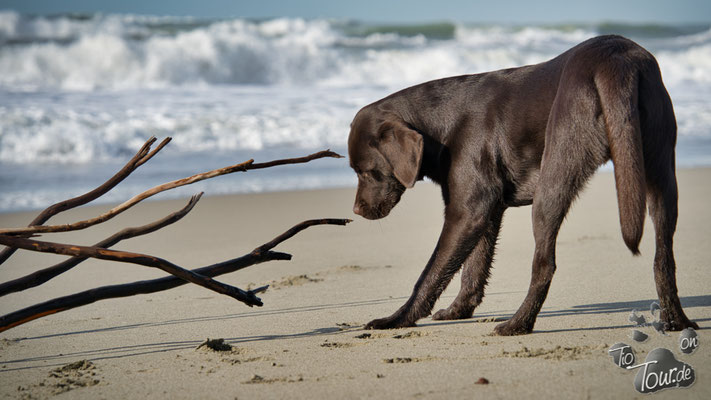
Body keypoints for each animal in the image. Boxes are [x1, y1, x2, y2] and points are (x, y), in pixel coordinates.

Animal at [348, 35, 700, 334]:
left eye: (366, 172)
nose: (356, 210)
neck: (441, 123)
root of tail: (616, 57)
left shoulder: (467, 212)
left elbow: (431, 273)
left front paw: (397, 319)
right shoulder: (485, 212)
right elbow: (473, 268)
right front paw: (458, 310)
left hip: (553, 179)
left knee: (545, 264)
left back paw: (518, 324)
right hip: (661, 176)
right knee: (664, 258)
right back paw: (676, 321)